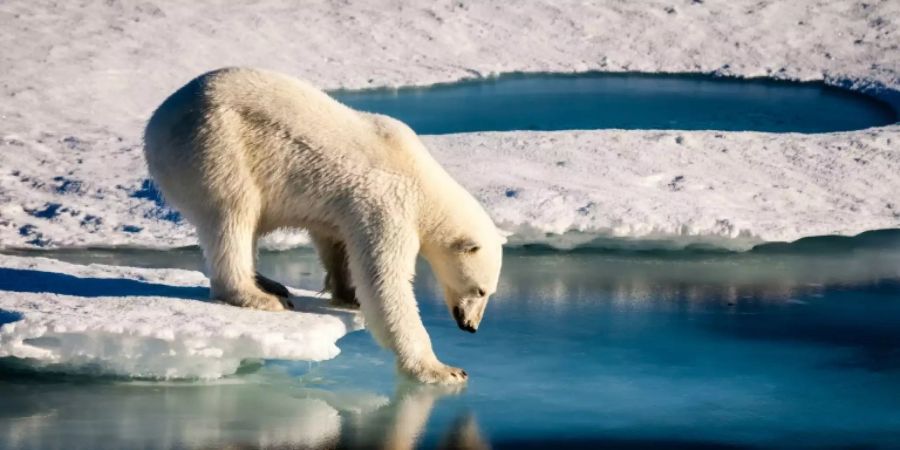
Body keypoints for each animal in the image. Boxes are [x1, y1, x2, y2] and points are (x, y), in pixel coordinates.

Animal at [144, 67, 502, 384]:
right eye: (480, 290)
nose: (471, 326)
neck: (422, 180)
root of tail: (155, 124)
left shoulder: (347, 208)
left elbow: (335, 241)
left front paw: (347, 294)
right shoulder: (388, 205)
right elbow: (385, 282)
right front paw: (443, 369)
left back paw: (269, 283)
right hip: (216, 146)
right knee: (233, 214)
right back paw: (258, 295)